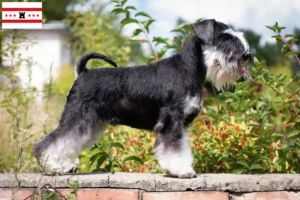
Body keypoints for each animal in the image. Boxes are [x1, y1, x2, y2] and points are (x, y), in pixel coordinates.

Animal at [32, 19, 252, 178]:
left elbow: (182, 147)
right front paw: (182, 171)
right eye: (224, 38)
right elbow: (174, 149)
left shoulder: (181, 124)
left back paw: (65, 167)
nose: (247, 55)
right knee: (53, 140)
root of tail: (83, 72)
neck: (189, 69)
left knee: (69, 142)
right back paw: (54, 166)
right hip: (78, 116)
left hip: (92, 124)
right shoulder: (171, 121)